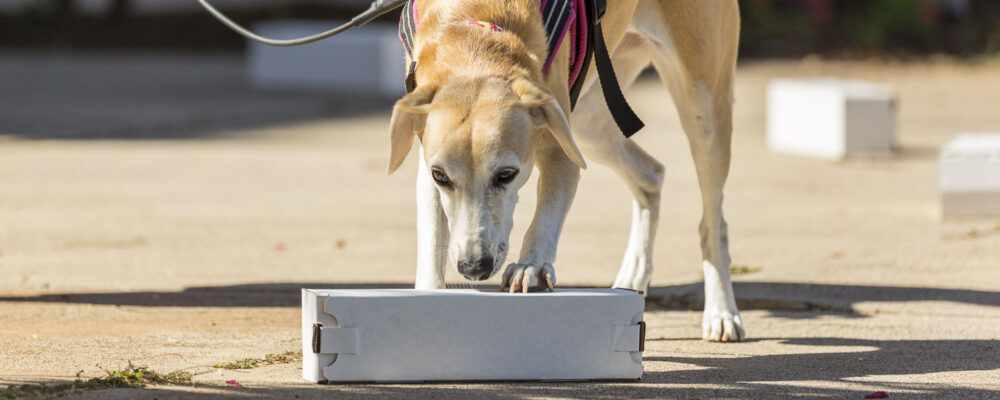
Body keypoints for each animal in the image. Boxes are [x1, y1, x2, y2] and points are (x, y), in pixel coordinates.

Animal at [386, 0, 748, 344]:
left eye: (506, 175)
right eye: (441, 176)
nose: (474, 268)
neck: (474, 28)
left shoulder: (560, 145)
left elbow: (546, 216)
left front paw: (530, 265)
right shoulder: (429, 161)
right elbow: (432, 239)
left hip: (702, 105)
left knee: (713, 225)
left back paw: (721, 312)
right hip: (588, 122)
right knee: (651, 175)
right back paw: (633, 276)